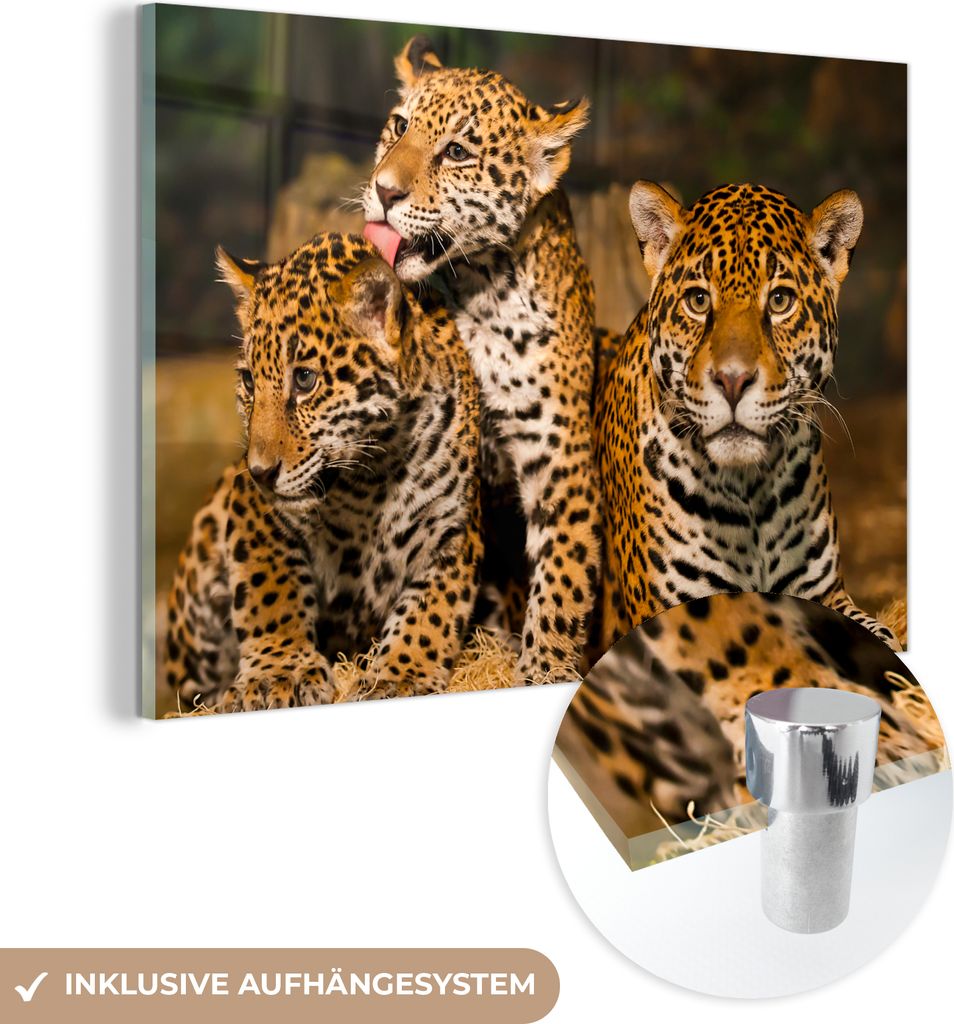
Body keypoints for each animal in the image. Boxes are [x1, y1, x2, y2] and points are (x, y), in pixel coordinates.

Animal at [162, 232, 482, 711]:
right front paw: (279, 673)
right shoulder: (254, 512)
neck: (374, 473)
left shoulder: (454, 528)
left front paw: (401, 673)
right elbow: (270, 590)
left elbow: (431, 609)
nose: (260, 472)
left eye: (305, 380)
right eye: (249, 382)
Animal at [361, 36, 601, 685]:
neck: (478, 289)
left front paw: (544, 669)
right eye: (398, 126)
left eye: (457, 153)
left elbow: (563, 579)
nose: (383, 191)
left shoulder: (562, 459)